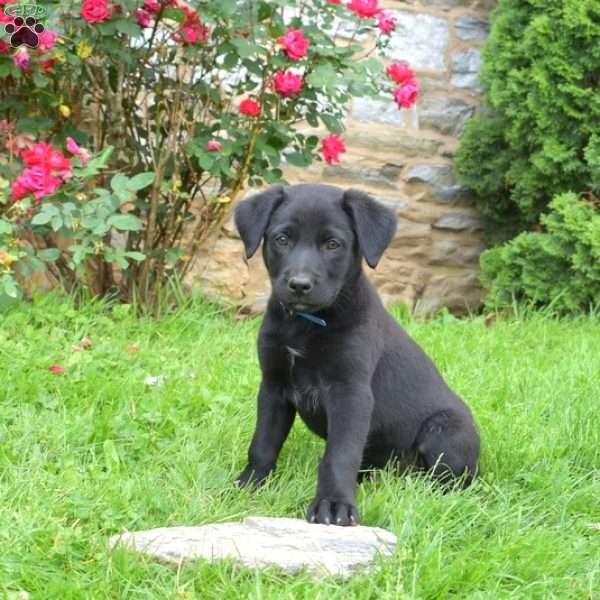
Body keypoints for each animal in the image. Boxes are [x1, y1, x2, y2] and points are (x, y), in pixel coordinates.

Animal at [233, 183, 478, 524]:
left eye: (333, 244)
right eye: (282, 239)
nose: (299, 284)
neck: (305, 324)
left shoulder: (350, 392)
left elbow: (340, 454)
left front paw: (334, 504)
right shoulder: (273, 386)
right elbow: (263, 442)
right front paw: (250, 483)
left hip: (446, 430)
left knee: (451, 480)